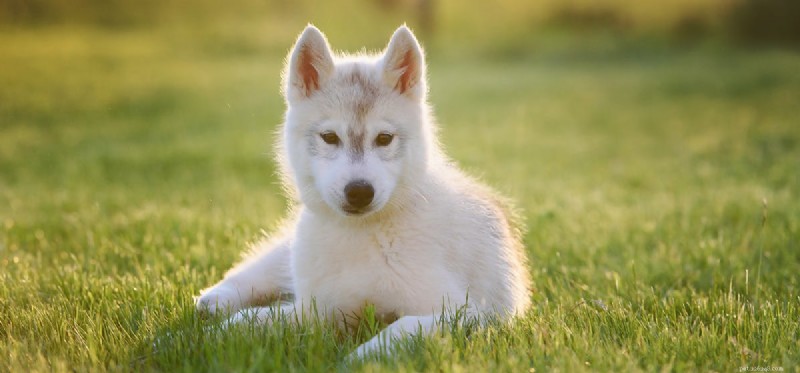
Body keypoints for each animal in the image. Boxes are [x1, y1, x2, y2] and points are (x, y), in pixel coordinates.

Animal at [195, 24, 532, 358]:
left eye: (384, 138)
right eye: (329, 137)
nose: (359, 192)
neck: (365, 235)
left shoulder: (472, 313)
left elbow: (402, 326)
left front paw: (359, 358)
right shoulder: (316, 309)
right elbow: (248, 321)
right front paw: (198, 338)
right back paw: (213, 300)